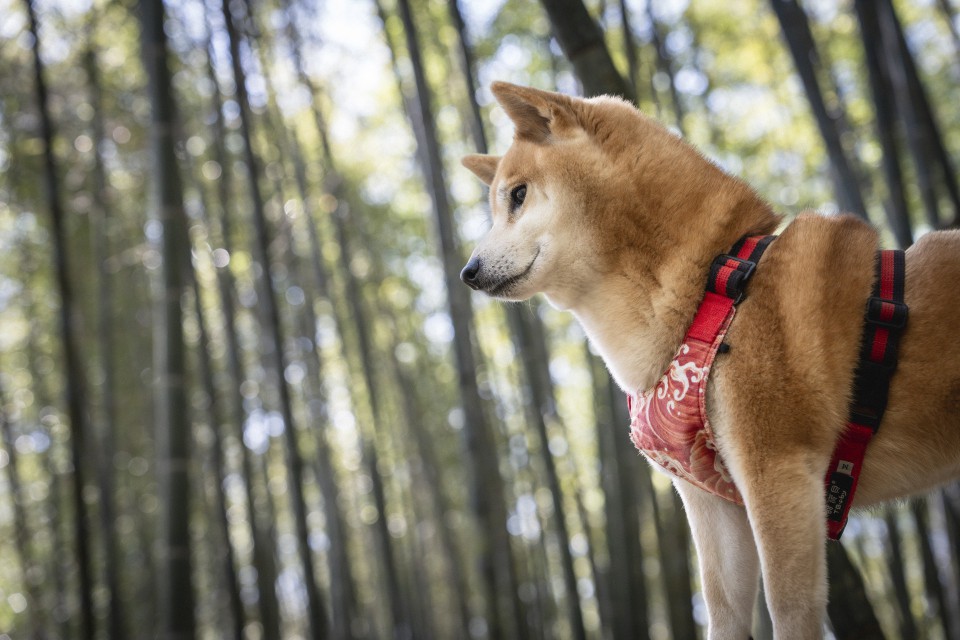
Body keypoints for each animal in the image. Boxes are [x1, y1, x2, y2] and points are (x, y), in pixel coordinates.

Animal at [460, 82, 960, 640]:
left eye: (517, 196)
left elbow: (789, 612)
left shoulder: (778, 475)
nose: (467, 272)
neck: (713, 289)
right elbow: (723, 615)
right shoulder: (712, 505)